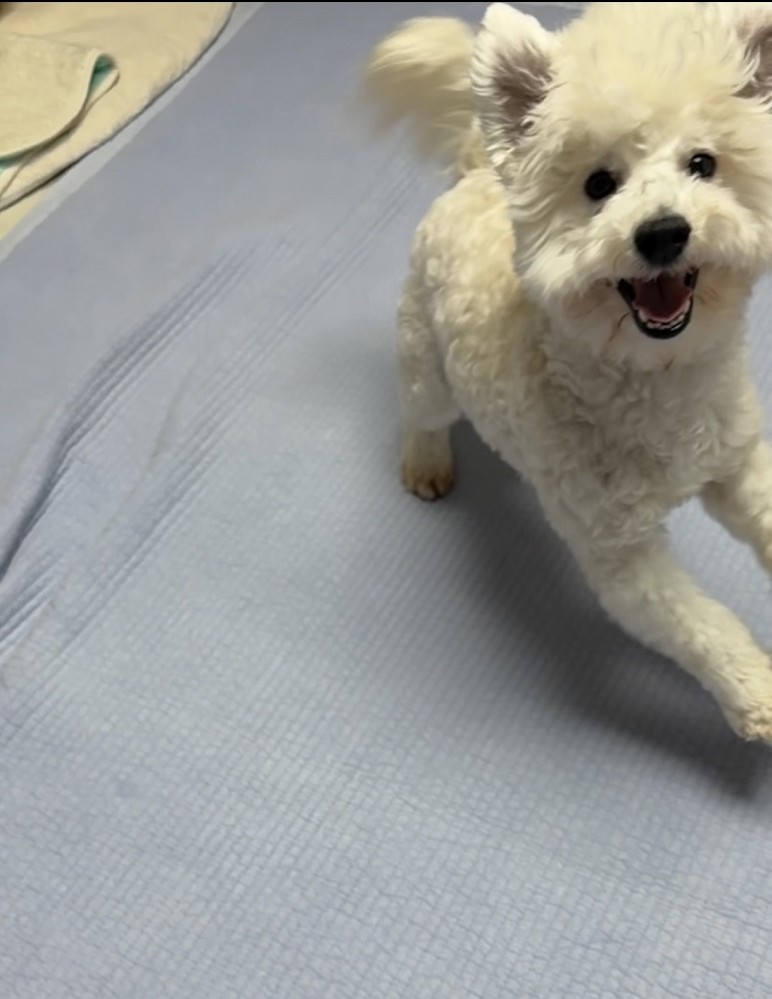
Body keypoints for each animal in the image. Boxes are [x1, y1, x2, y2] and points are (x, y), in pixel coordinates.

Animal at [363, 2, 772, 741]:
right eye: (599, 185)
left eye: (702, 164)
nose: (663, 231)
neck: (653, 378)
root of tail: (474, 170)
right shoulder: (620, 557)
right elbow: (702, 626)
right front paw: (756, 691)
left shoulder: (735, 463)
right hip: (426, 359)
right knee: (418, 412)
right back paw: (426, 461)